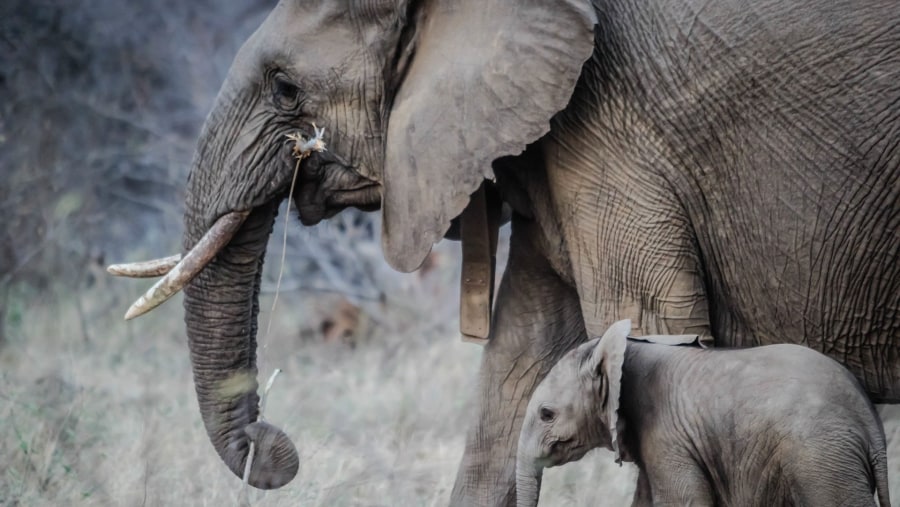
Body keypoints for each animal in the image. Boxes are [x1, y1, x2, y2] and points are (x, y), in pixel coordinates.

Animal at [516, 322, 888, 507]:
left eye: (547, 414)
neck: (621, 348)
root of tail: (871, 424)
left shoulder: (668, 436)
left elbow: (683, 501)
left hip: (822, 460)